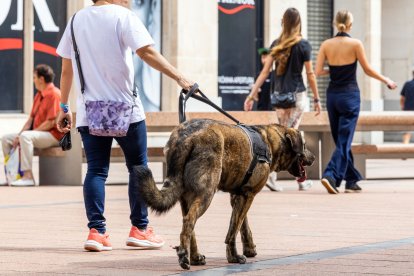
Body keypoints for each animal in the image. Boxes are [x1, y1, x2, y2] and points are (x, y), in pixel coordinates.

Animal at [134, 118, 316, 270]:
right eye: (304, 146)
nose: (313, 158)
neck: (271, 141)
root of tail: (185, 138)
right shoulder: (248, 195)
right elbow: (233, 231)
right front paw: (234, 257)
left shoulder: (239, 196)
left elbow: (243, 226)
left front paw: (249, 249)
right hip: (207, 193)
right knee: (189, 221)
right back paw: (184, 256)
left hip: (186, 196)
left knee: (190, 224)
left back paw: (194, 257)